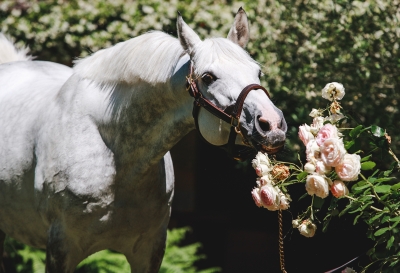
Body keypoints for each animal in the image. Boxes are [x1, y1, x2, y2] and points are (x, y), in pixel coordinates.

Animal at [0, 9, 288, 272]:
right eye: (208, 77)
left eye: (257, 71)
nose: (272, 125)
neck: (118, 160)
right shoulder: (61, 249)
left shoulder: (150, 250)